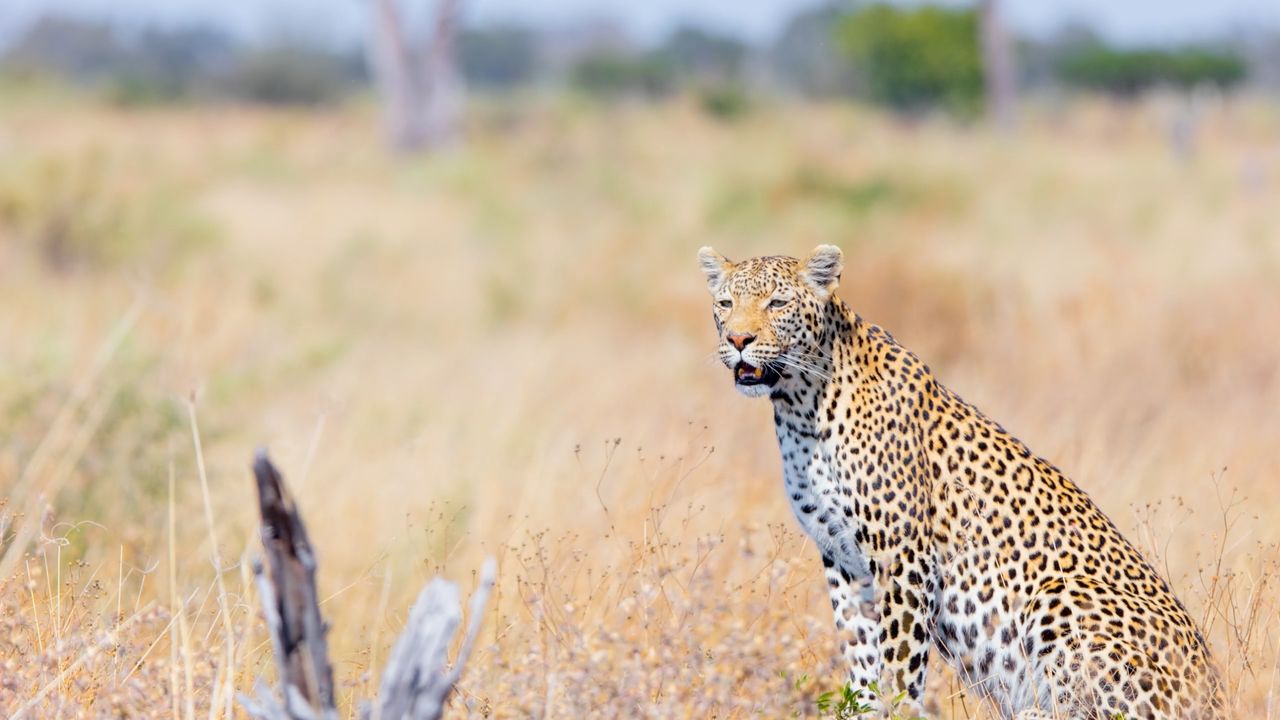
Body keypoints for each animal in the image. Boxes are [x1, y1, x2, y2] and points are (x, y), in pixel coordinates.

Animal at [701, 243, 1228, 712]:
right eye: (726, 304)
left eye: (777, 303)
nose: (739, 341)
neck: (800, 405)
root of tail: (1217, 696)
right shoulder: (841, 558)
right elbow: (860, 658)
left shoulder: (903, 557)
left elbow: (899, 667)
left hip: (1060, 596)